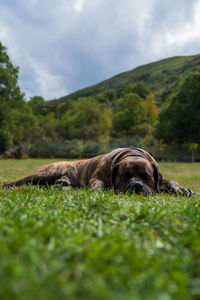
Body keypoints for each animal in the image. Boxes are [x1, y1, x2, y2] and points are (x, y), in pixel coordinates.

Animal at [1, 148, 192, 197]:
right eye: (124, 176)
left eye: (146, 176)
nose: (137, 186)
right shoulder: (97, 176)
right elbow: (97, 184)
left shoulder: (162, 179)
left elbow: (171, 182)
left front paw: (182, 189)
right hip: (44, 174)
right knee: (20, 181)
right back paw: (6, 184)